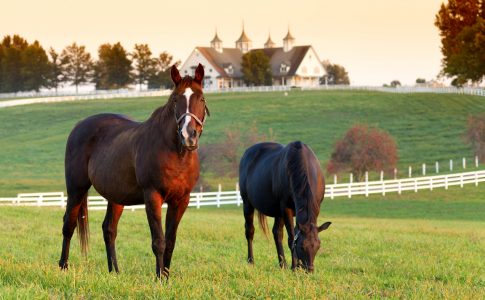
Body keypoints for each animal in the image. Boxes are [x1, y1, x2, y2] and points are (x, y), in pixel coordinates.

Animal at [57, 62, 209, 278]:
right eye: (175, 99)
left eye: (201, 98)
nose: (189, 135)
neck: (176, 153)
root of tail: (79, 126)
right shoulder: (152, 196)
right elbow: (159, 241)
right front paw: (159, 279)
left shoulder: (181, 200)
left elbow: (170, 242)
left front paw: (166, 277)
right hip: (76, 188)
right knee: (68, 225)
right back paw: (63, 266)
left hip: (115, 196)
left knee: (109, 229)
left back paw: (114, 271)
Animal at [239, 141, 330, 272]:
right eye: (301, 247)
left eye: (318, 246)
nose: (309, 270)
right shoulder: (286, 209)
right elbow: (291, 238)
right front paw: (294, 267)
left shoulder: (314, 207)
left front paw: (296, 265)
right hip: (247, 204)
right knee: (250, 231)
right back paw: (251, 261)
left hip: (277, 211)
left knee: (277, 233)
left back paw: (283, 264)